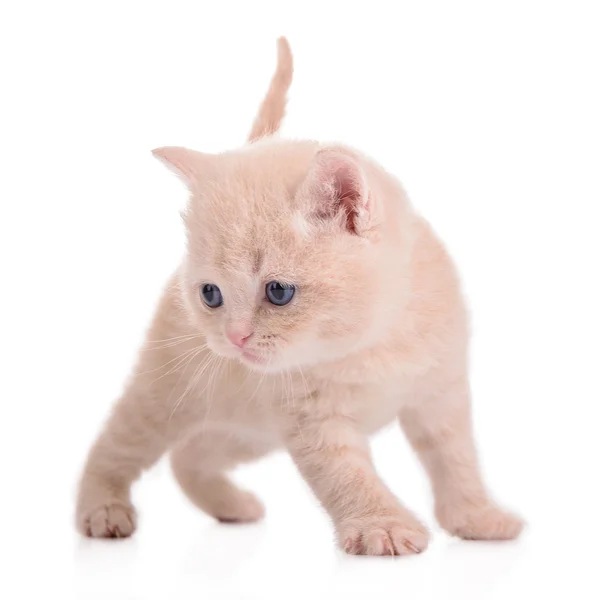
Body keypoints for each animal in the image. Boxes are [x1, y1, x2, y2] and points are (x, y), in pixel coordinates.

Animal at [76, 36, 524, 552]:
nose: (235, 338)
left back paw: (230, 506)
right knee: (119, 441)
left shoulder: (440, 393)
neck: (370, 346)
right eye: (211, 294)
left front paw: (477, 518)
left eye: (278, 291)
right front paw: (382, 525)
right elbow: (348, 475)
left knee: (190, 453)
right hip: (172, 391)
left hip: (248, 427)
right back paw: (102, 509)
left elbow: (457, 460)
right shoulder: (312, 421)